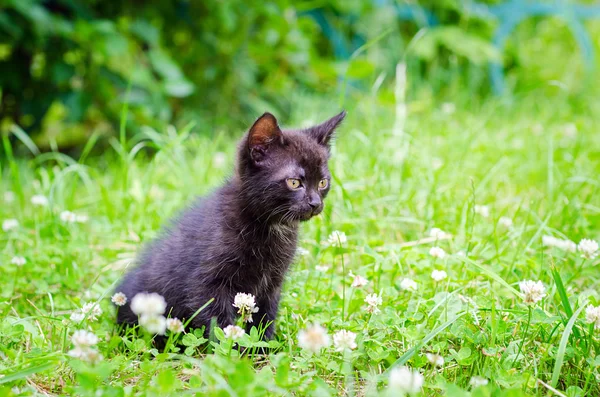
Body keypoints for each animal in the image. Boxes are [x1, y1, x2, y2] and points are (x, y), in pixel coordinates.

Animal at [114, 110, 344, 338]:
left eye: (323, 182)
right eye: (294, 182)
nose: (316, 203)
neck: (270, 225)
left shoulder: (273, 283)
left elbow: (265, 317)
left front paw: (263, 346)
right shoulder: (208, 283)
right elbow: (219, 323)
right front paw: (232, 347)